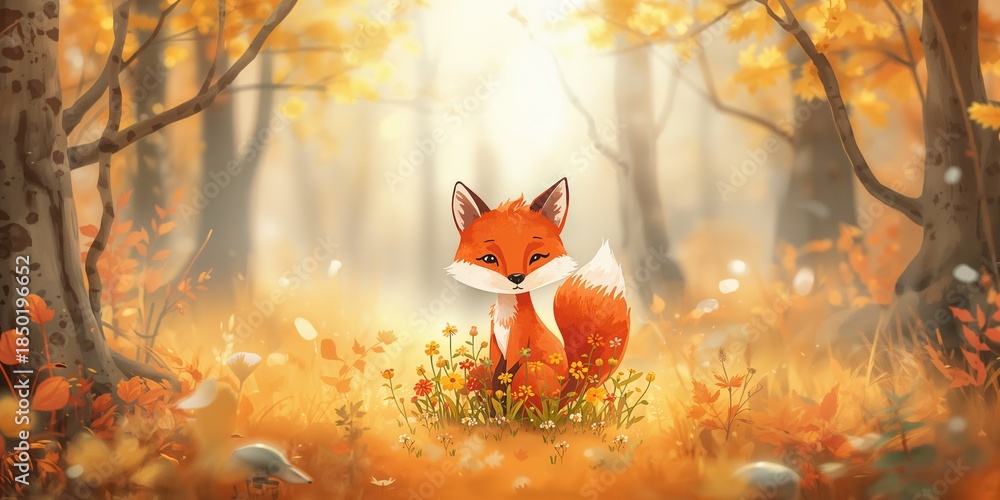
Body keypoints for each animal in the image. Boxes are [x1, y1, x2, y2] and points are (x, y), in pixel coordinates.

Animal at [447, 177, 630, 409]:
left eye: (537, 257)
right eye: (489, 259)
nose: (516, 278)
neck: (506, 318)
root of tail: (563, 395)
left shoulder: (518, 342)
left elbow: (504, 378)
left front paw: (503, 409)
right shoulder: (496, 345)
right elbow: (497, 378)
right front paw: (496, 409)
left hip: (529, 371)